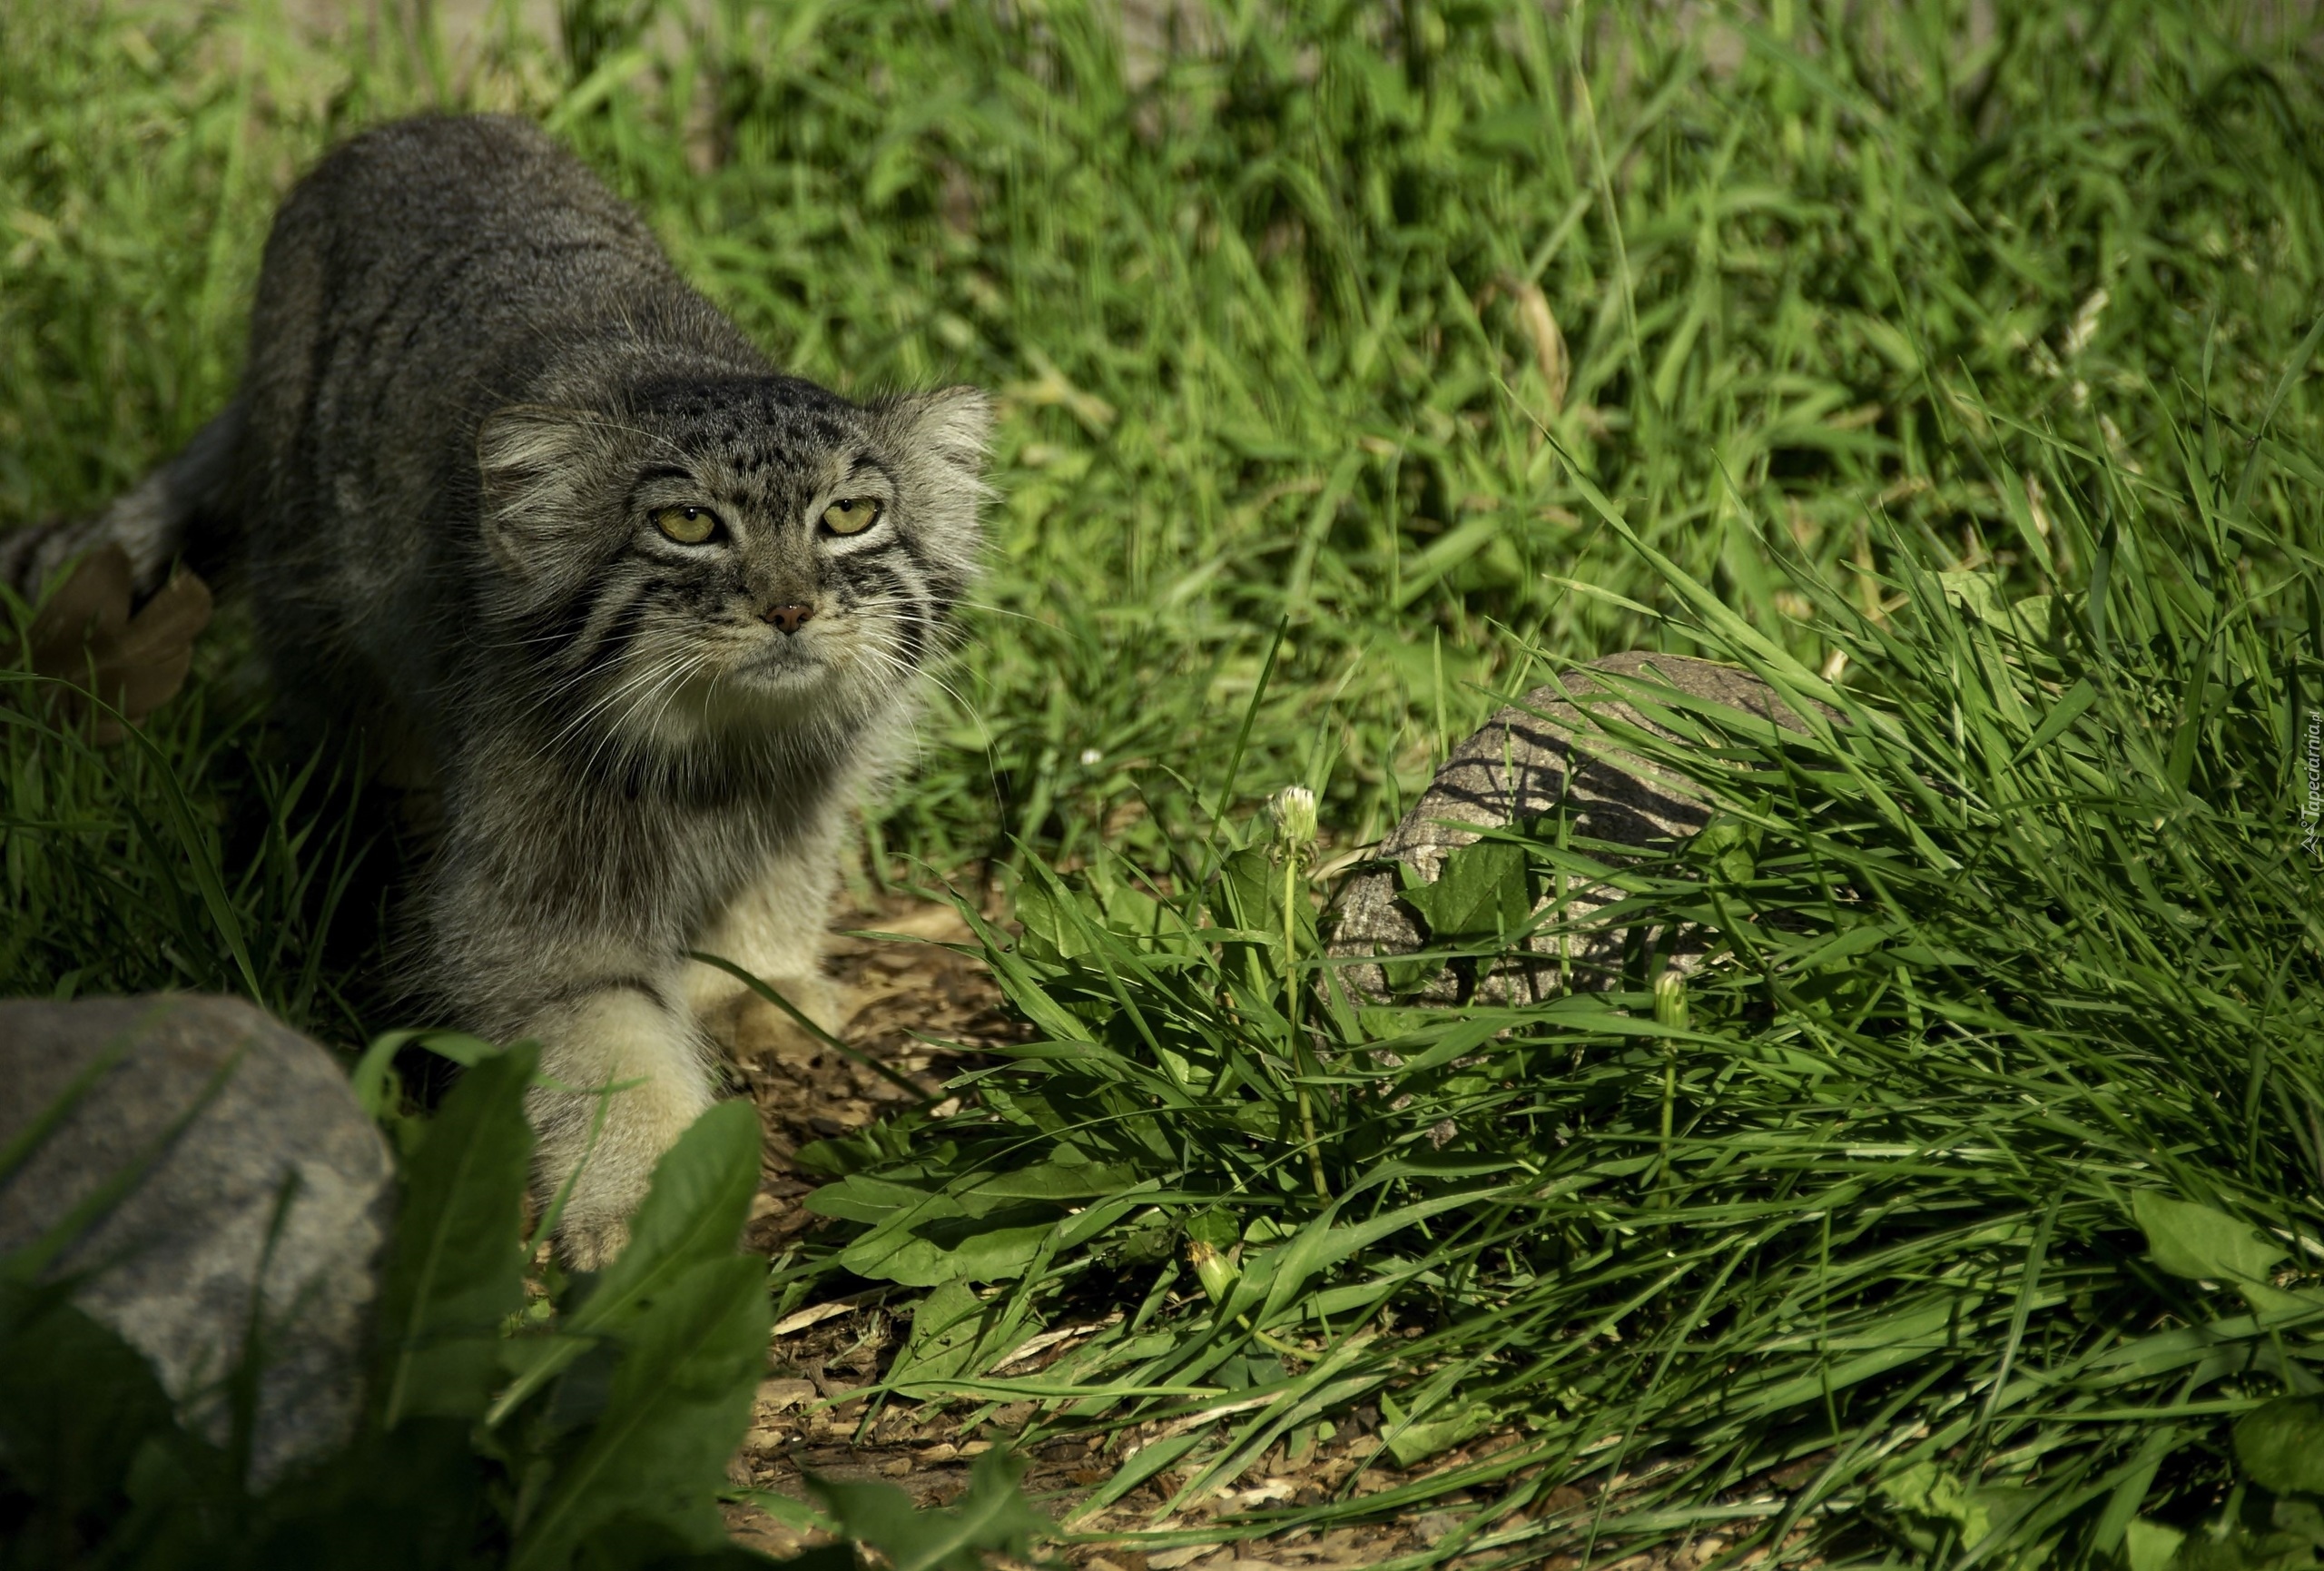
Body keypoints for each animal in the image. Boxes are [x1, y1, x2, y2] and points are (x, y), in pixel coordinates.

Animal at [2, 116, 980, 1264]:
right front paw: (654, 1206)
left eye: (849, 515)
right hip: (317, 606)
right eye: (687, 524)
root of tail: (408, 124)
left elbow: (783, 873)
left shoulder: (806, 780)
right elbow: (604, 1037)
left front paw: (759, 976)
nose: (788, 607)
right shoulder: (531, 901)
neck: (724, 747)